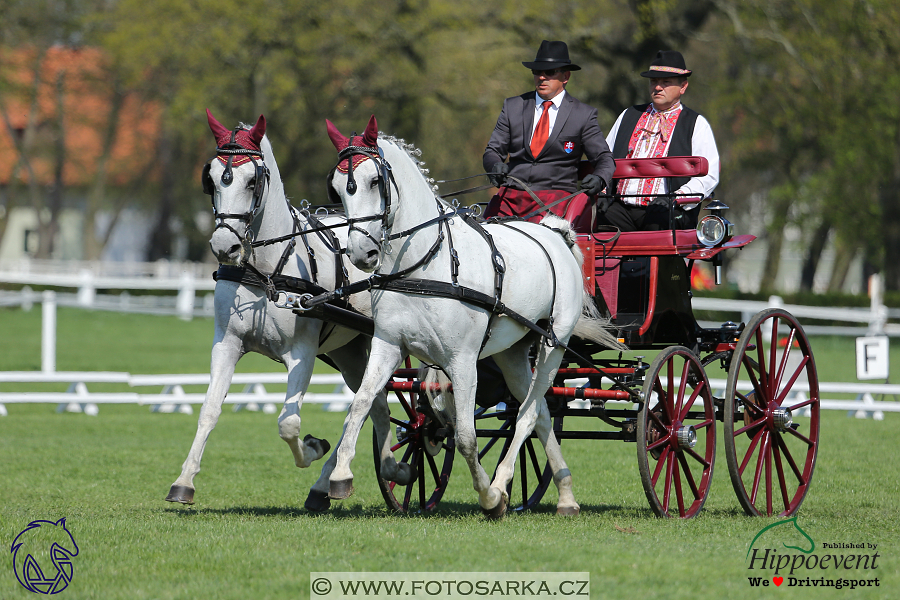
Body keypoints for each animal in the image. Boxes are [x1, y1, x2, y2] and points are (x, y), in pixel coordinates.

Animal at [166, 110, 412, 508]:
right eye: (212, 178)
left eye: (252, 181)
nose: (223, 246)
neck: (266, 271)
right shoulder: (227, 343)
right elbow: (209, 410)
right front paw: (184, 481)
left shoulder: (301, 353)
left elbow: (288, 423)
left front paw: (312, 448)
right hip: (350, 350)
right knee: (373, 404)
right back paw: (372, 472)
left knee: (363, 408)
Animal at [324, 116, 624, 516]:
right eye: (337, 189)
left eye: (375, 181)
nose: (361, 253)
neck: (425, 263)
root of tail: (556, 233)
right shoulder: (388, 344)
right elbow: (360, 404)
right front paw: (343, 475)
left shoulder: (463, 360)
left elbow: (466, 435)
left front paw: (489, 497)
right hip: (513, 351)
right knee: (540, 411)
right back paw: (566, 496)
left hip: (554, 344)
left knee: (527, 415)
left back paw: (502, 485)